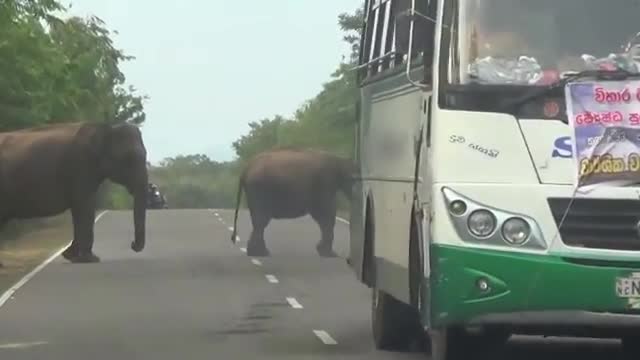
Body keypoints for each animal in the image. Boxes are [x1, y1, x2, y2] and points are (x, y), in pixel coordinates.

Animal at [0, 121, 148, 264]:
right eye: (129, 158)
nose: (133, 244)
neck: (107, 128)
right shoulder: (81, 165)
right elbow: (85, 206)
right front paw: (90, 259)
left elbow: (80, 209)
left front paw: (71, 256)